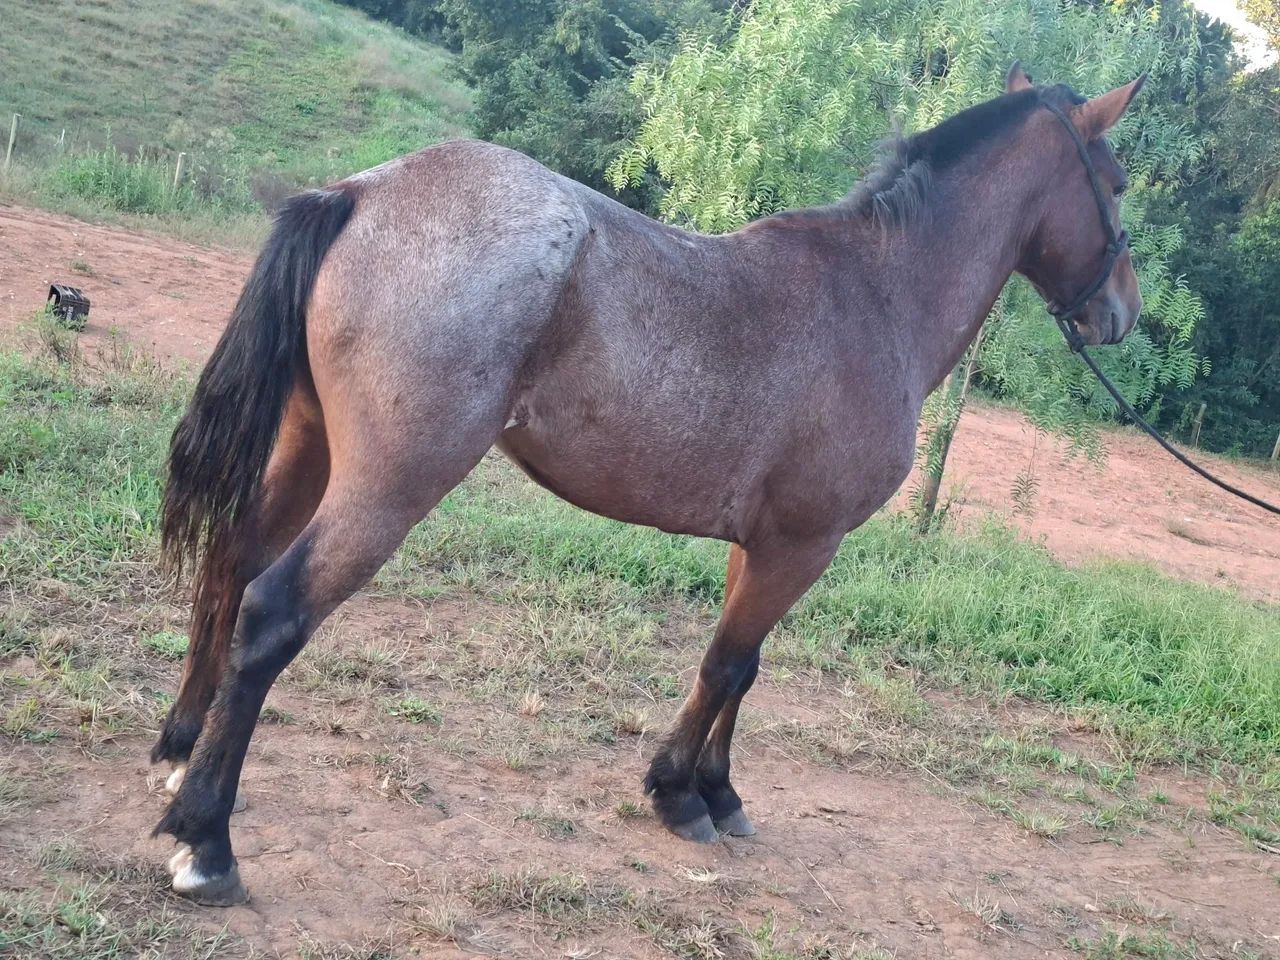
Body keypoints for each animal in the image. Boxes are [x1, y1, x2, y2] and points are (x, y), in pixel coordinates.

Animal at [150, 62, 1146, 905]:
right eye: (1119, 181)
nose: (1123, 312)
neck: (877, 295)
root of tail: (362, 193)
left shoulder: (763, 546)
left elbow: (741, 668)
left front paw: (716, 790)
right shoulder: (803, 544)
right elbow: (729, 663)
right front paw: (679, 794)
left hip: (308, 451)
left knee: (231, 563)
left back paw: (179, 749)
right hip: (389, 487)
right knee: (272, 611)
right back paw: (207, 841)